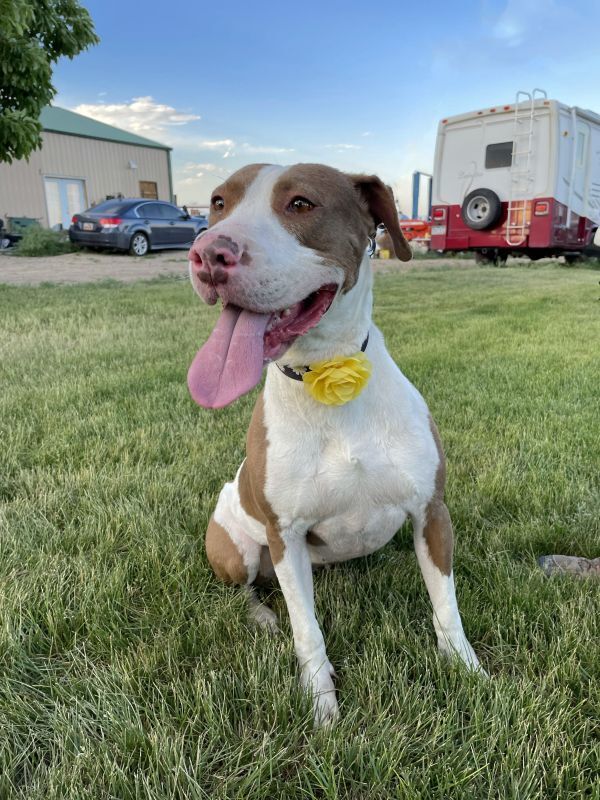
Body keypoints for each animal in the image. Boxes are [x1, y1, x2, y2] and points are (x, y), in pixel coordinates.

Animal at [188, 162, 482, 724]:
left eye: (301, 204)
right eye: (217, 203)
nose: (208, 251)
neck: (328, 377)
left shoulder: (432, 512)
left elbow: (447, 604)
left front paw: (468, 669)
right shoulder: (285, 535)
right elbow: (307, 628)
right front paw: (321, 703)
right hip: (236, 550)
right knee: (246, 590)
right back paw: (262, 616)